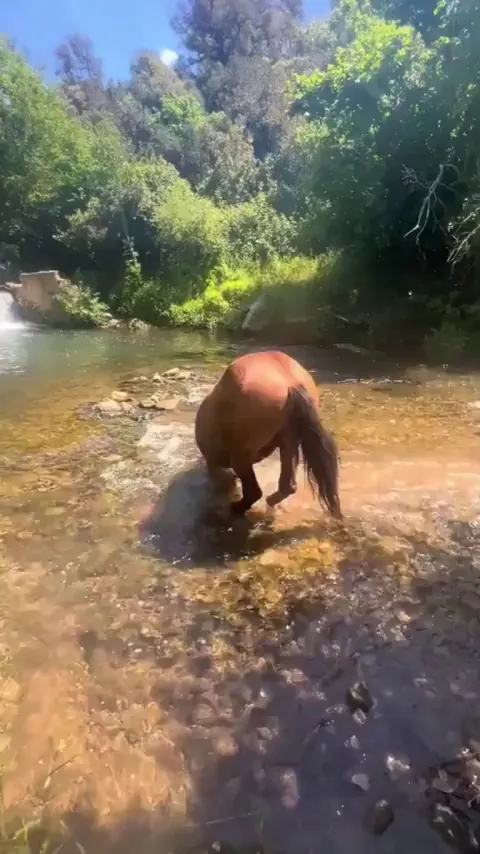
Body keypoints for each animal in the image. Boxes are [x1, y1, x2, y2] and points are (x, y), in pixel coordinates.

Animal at [195, 350, 342, 519]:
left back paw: (237, 508)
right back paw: (270, 504)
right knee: (288, 486)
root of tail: (289, 382)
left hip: (241, 454)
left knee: (254, 492)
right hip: (289, 442)